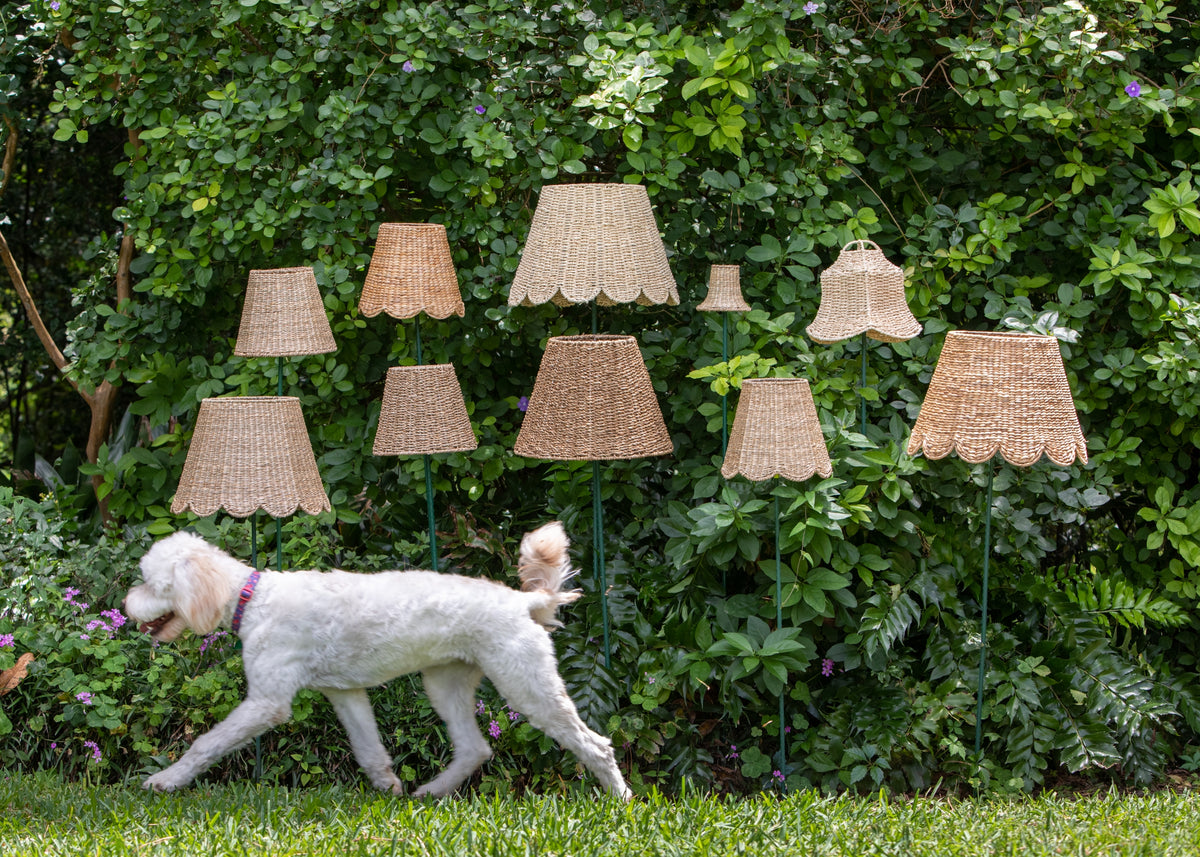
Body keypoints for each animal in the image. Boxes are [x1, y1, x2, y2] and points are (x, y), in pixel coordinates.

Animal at [121, 520, 633, 792]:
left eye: (149, 582)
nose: (126, 607)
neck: (253, 600)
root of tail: (522, 601)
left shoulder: (268, 702)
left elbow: (206, 743)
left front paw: (166, 780)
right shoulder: (345, 693)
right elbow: (369, 750)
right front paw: (388, 787)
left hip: (528, 686)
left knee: (595, 744)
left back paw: (620, 799)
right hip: (445, 684)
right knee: (475, 748)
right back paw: (430, 793)